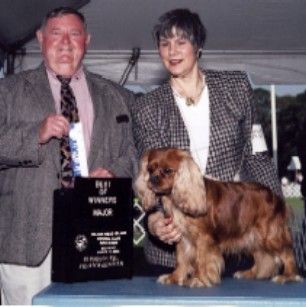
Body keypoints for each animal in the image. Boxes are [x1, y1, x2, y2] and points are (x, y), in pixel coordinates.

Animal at [135, 148, 302, 288]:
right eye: (150, 170)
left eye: (168, 171)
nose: (153, 179)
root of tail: (275, 197)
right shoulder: (183, 238)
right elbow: (181, 260)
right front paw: (175, 278)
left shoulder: (204, 238)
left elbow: (202, 260)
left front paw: (199, 279)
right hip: (252, 236)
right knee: (264, 258)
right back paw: (250, 273)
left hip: (269, 235)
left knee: (287, 253)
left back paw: (288, 276)